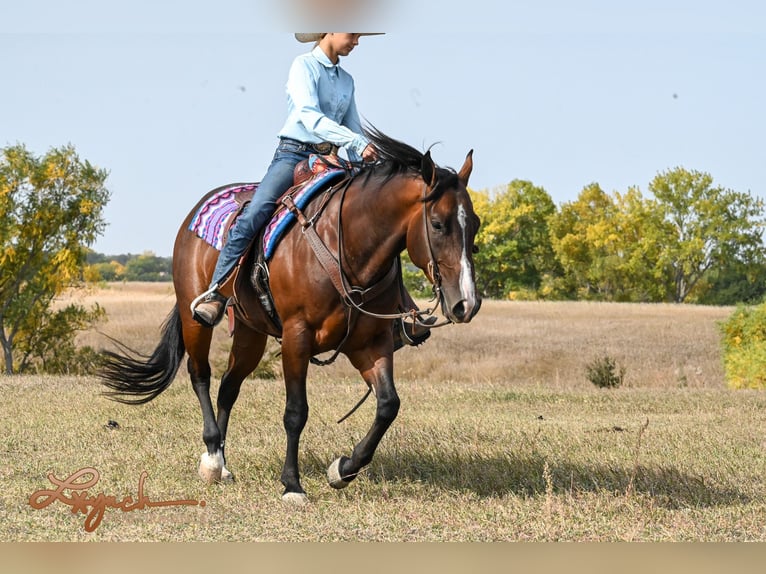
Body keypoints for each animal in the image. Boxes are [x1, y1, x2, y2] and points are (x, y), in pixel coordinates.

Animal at [96, 129, 480, 504]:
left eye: (474, 225)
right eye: (437, 224)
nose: (467, 304)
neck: (348, 249)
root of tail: (195, 213)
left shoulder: (370, 343)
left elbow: (388, 405)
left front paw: (342, 469)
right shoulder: (298, 337)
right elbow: (296, 412)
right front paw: (292, 485)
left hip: (250, 332)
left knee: (228, 387)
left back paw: (224, 463)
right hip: (196, 319)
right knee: (200, 375)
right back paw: (212, 459)